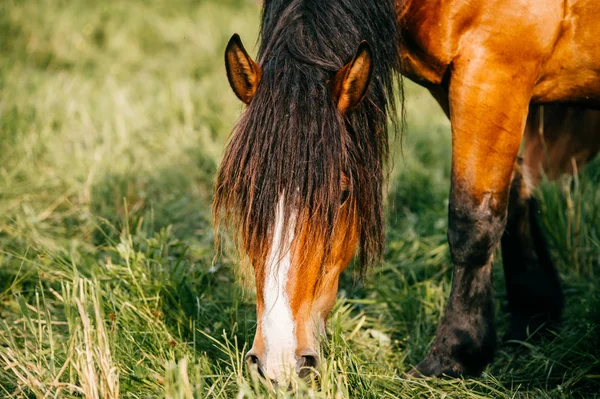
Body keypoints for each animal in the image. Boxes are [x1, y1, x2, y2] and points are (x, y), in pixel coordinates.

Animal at [216, 0, 600, 382]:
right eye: (245, 193)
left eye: (342, 195)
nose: (277, 366)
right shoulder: (460, 86)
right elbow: (515, 193)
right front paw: (532, 318)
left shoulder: (493, 72)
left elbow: (473, 222)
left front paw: (454, 354)